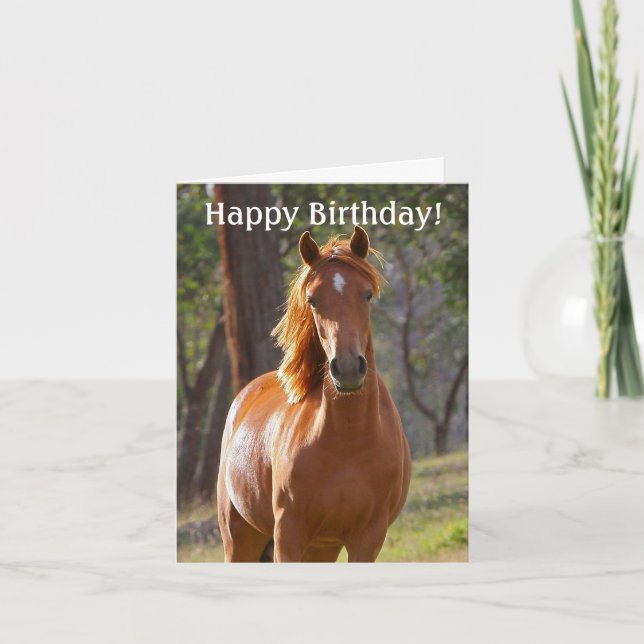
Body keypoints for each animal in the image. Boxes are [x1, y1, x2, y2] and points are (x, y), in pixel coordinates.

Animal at [217, 225, 411, 562]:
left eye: (367, 294)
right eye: (313, 299)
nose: (347, 368)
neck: (349, 440)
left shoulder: (368, 537)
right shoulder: (288, 534)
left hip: (322, 547)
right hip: (240, 540)